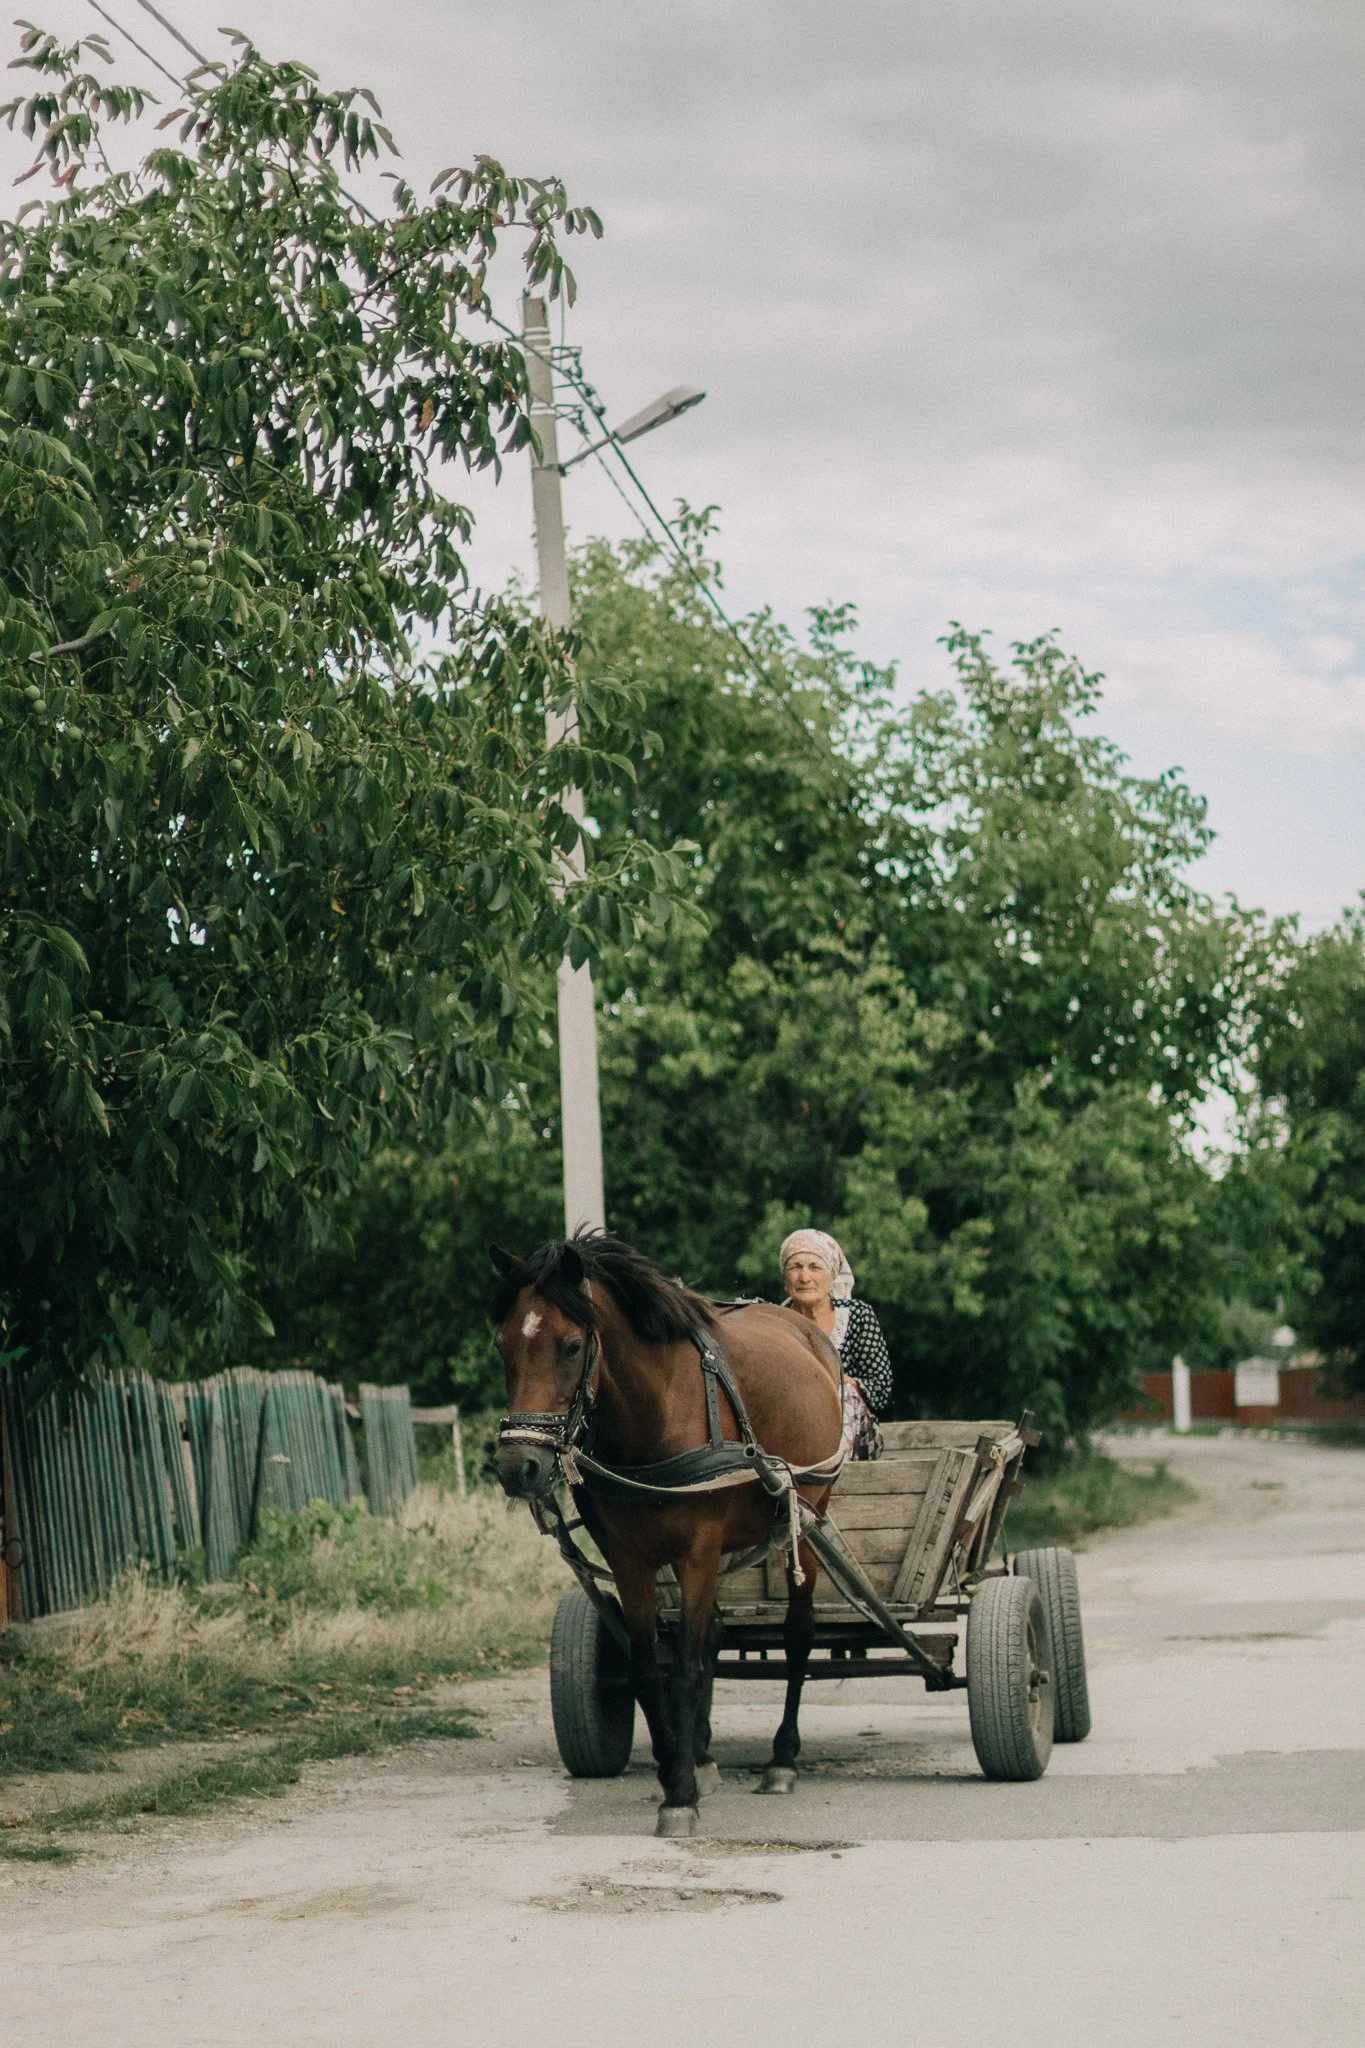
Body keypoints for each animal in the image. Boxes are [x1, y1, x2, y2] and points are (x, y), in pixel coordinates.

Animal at [491, 1231, 844, 1837]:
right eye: (501, 1345)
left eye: (570, 1346)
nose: (519, 1468)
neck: (655, 1411)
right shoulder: (630, 1558)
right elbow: (647, 1668)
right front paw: (676, 1768)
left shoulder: (696, 1549)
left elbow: (682, 1670)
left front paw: (678, 1795)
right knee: (712, 1635)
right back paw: (701, 1753)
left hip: (805, 1519)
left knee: (798, 1635)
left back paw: (782, 1760)